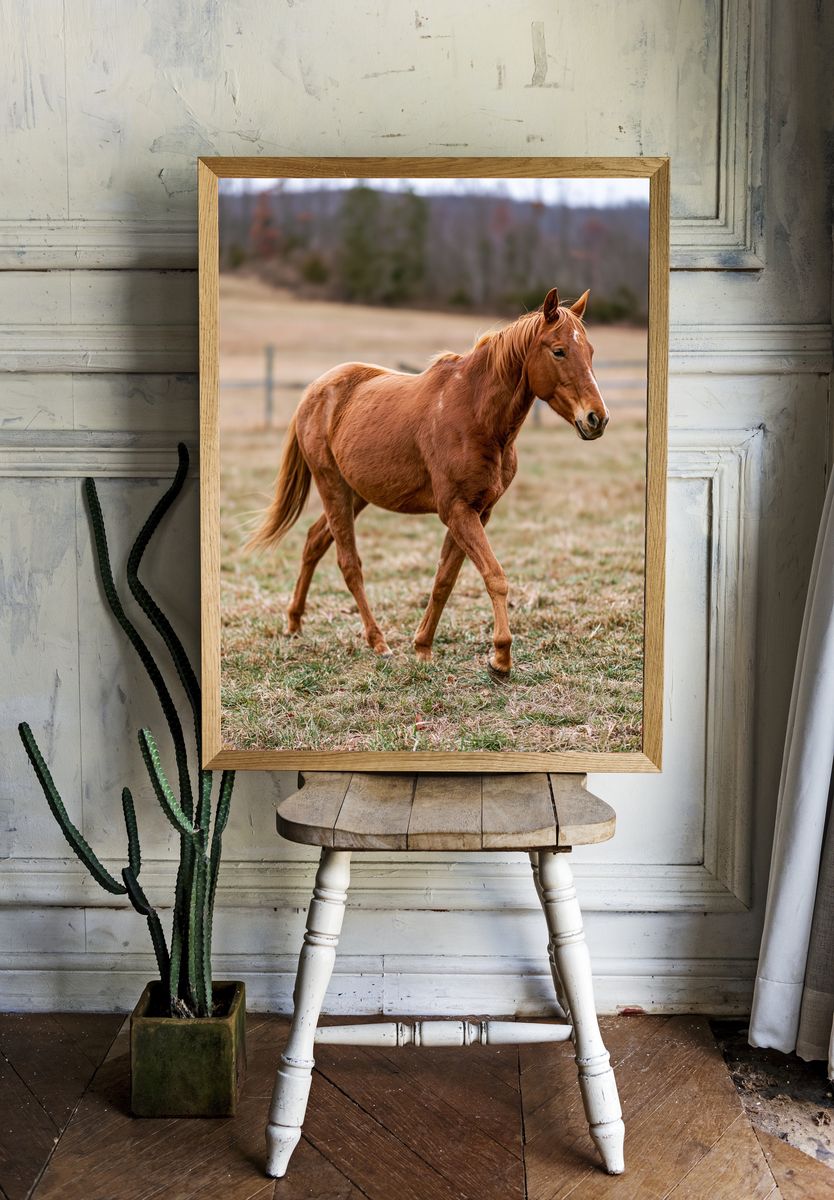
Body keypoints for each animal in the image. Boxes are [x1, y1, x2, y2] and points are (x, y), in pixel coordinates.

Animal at [247, 287, 609, 680]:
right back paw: (377, 642)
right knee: (349, 563)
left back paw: (294, 623)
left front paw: (423, 647)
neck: (475, 413)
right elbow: (494, 576)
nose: (597, 419)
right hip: (333, 488)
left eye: (590, 351)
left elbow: (444, 580)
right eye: (559, 350)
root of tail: (315, 390)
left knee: (314, 542)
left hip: (355, 493)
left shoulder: (478, 512)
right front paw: (500, 657)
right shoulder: (457, 510)